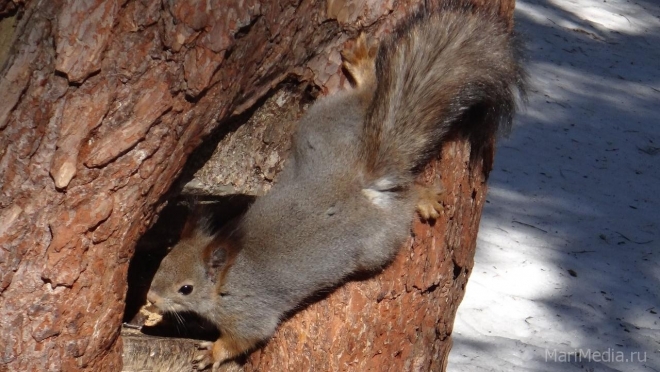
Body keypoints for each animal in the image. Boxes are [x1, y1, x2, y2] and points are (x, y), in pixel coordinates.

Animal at [146, 2, 524, 370]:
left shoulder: (249, 311)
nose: (150, 297)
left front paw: (211, 352)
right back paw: (365, 70)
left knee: (405, 193)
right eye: (162, 261)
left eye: (185, 288)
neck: (225, 279)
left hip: (376, 244)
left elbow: (245, 337)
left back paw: (423, 196)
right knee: (370, 100)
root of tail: (364, 176)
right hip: (324, 124)